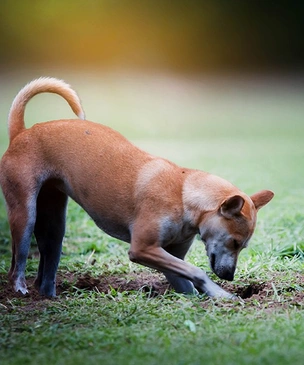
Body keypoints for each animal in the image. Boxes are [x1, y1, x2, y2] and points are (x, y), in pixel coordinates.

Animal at [0, 78, 274, 298]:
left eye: (242, 246)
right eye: (235, 242)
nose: (229, 277)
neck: (183, 194)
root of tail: (22, 133)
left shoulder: (169, 257)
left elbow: (186, 279)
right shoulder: (143, 248)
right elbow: (196, 271)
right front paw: (221, 293)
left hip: (55, 222)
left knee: (47, 262)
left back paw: (47, 295)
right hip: (25, 214)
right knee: (17, 263)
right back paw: (20, 287)